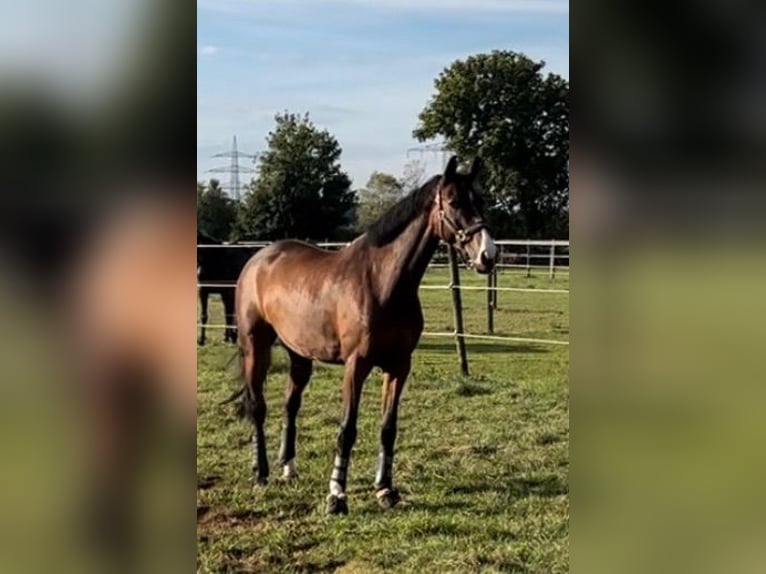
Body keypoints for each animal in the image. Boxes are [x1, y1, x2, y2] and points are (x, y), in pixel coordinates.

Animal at [233, 156, 496, 515]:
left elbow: (388, 428)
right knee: (257, 406)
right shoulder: (356, 365)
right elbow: (348, 429)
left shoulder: (399, 366)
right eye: (454, 201)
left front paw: (385, 489)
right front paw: (336, 496)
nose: (488, 255)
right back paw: (260, 473)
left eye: (480, 201)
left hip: (298, 353)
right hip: (254, 345)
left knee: (290, 404)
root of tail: (259, 258)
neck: (382, 282)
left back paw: (288, 468)